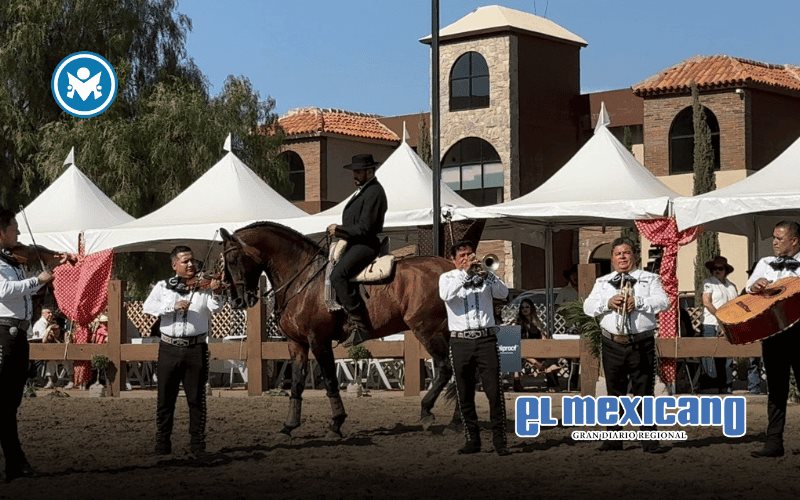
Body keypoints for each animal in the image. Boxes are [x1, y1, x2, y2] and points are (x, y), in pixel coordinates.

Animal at [219, 222, 455, 438]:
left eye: (232, 260)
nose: (238, 300)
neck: (302, 279)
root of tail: (447, 268)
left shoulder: (318, 341)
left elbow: (331, 379)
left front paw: (337, 422)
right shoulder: (297, 343)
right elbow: (296, 383)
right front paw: (289, 426)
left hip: (428, 330)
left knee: (445, 369)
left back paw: (427, 413)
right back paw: (457, 422)